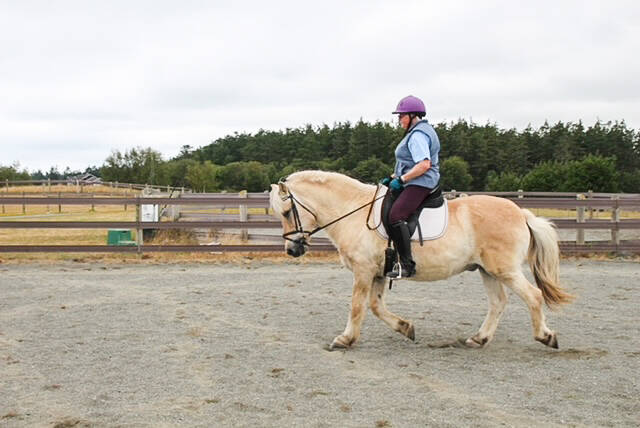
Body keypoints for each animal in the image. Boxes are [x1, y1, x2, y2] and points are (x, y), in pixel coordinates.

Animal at [269, 170, 573, 351]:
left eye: (286, 212)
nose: (292, 250)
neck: (352, 211)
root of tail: (522, 213)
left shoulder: (364, 271)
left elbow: (357, 306)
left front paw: (345, 339)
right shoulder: (379, 272)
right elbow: (376, 306)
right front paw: (406, 328)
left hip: (504, 269)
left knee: (533, 296)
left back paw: (546, 336)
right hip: (487, 270)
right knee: (498, 302)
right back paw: (479, 338)